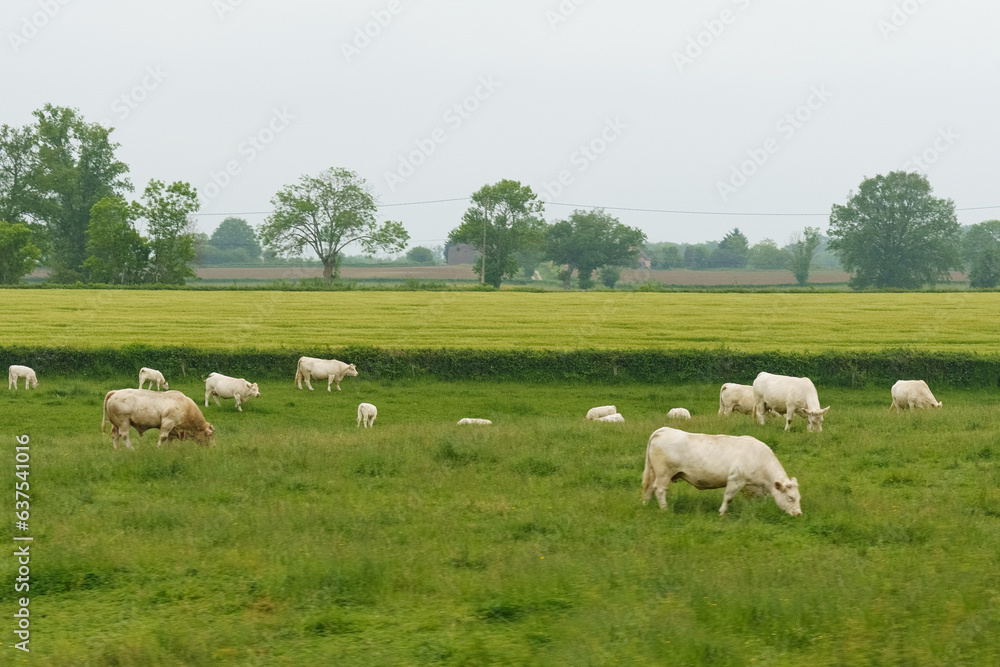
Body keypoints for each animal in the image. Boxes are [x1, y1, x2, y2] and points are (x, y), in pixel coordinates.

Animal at [640, 428, 804, 516]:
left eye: (798, 498)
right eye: (790, 498)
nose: (798, 514)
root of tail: (663, 430)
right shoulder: (736, 480)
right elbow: (728, 497)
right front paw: (722, 512)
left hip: (653, 472)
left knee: (648, 488)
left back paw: (645, 505)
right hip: (664, 473)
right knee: (659, 490)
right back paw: (664, 509)